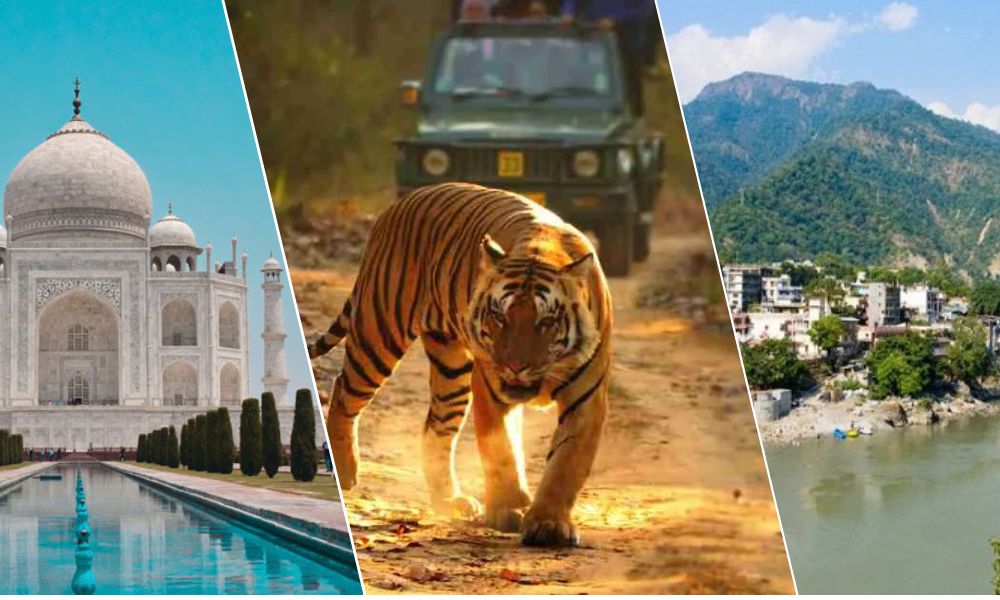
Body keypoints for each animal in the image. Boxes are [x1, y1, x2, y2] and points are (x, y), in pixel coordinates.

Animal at [309, 182, 612, 547]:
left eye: (546, 322)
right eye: (500, 317)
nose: (514, 366)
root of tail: (401, 202)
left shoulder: (587, 397)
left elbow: (567, 462)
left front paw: (548, 524)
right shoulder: (491, 387)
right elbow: (500, 450)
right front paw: (506, 510)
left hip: (450, 370)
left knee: (436, 427)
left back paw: (449, 499)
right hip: (378, 333)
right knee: (344, 392)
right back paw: (344, 471)